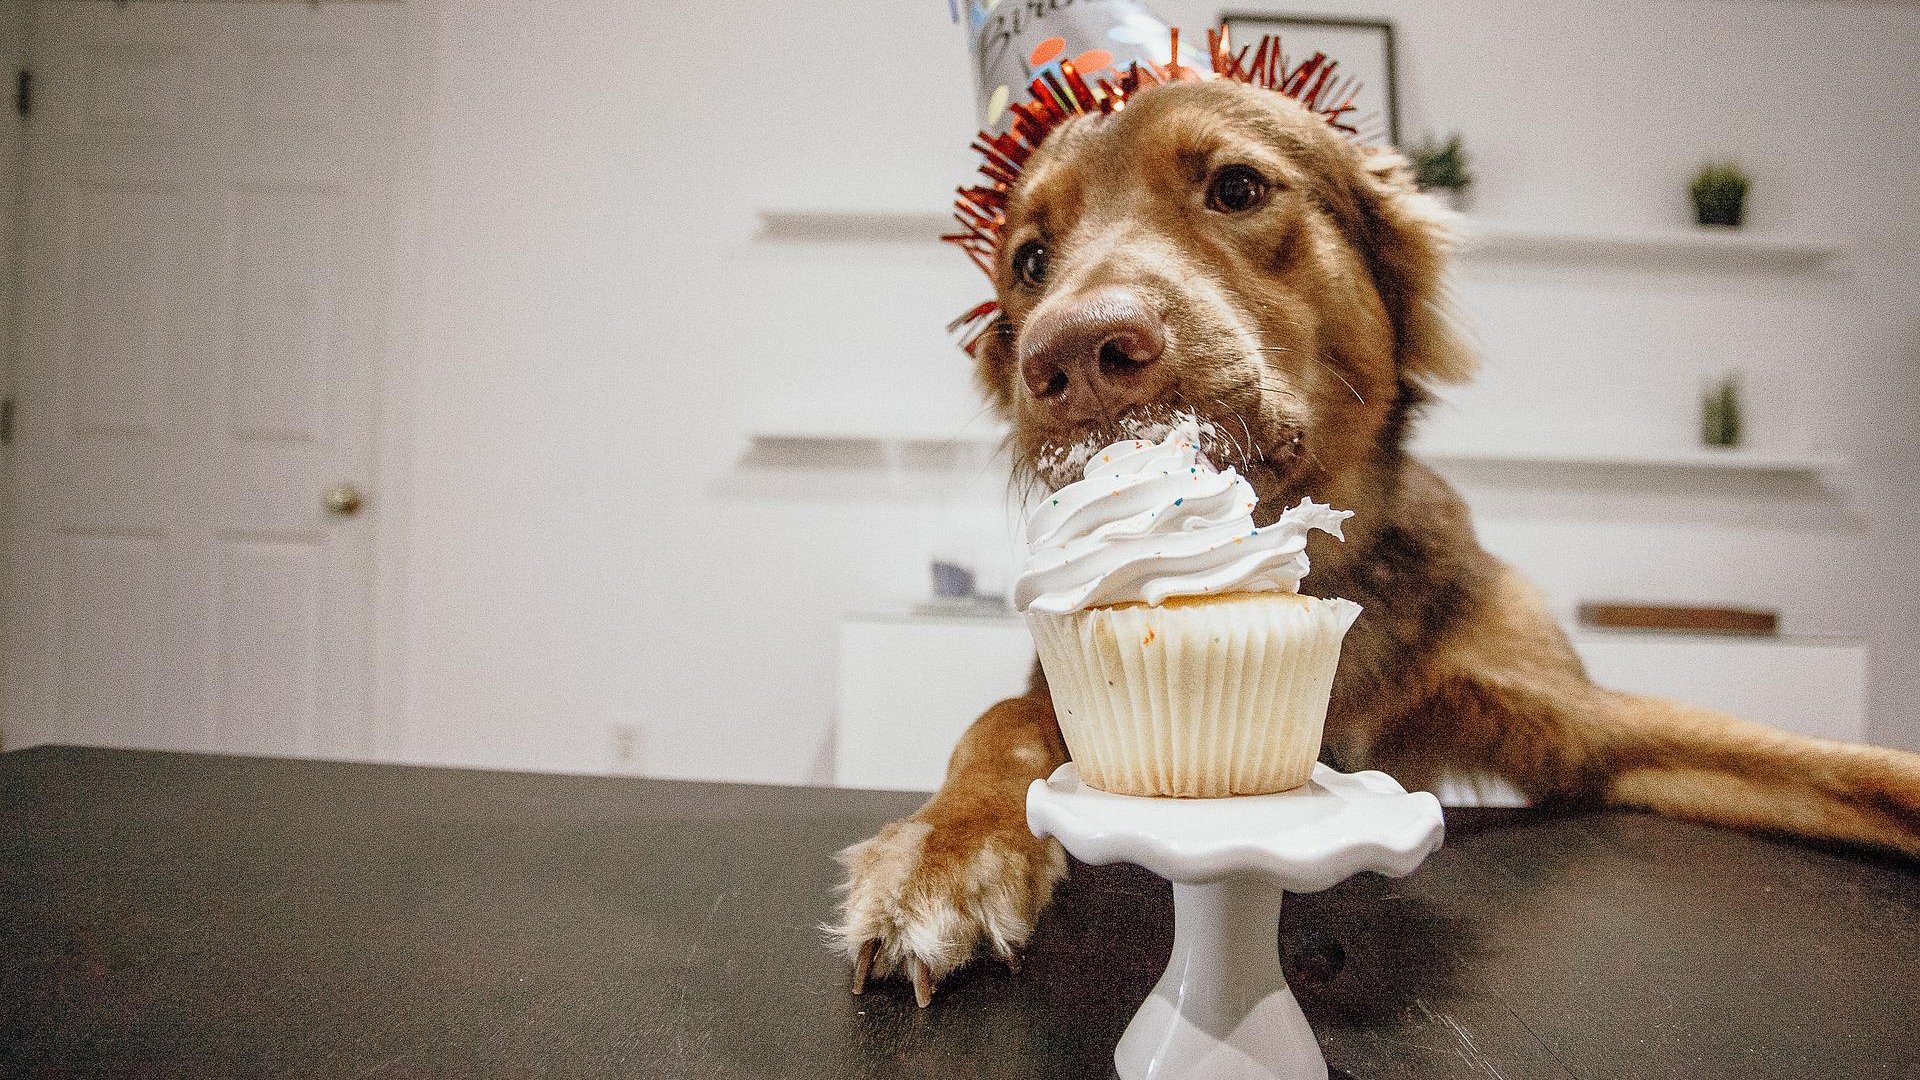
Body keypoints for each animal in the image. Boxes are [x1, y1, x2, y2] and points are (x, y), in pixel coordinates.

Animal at [829, 75, 1920, 999]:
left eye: (1235, 186)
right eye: (1029, 261)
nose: (1073, 356)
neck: (1313, 576)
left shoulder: (1586, 726)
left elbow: (1832, 762)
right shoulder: (1064, 685)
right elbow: (997, 727)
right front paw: (942, 853)